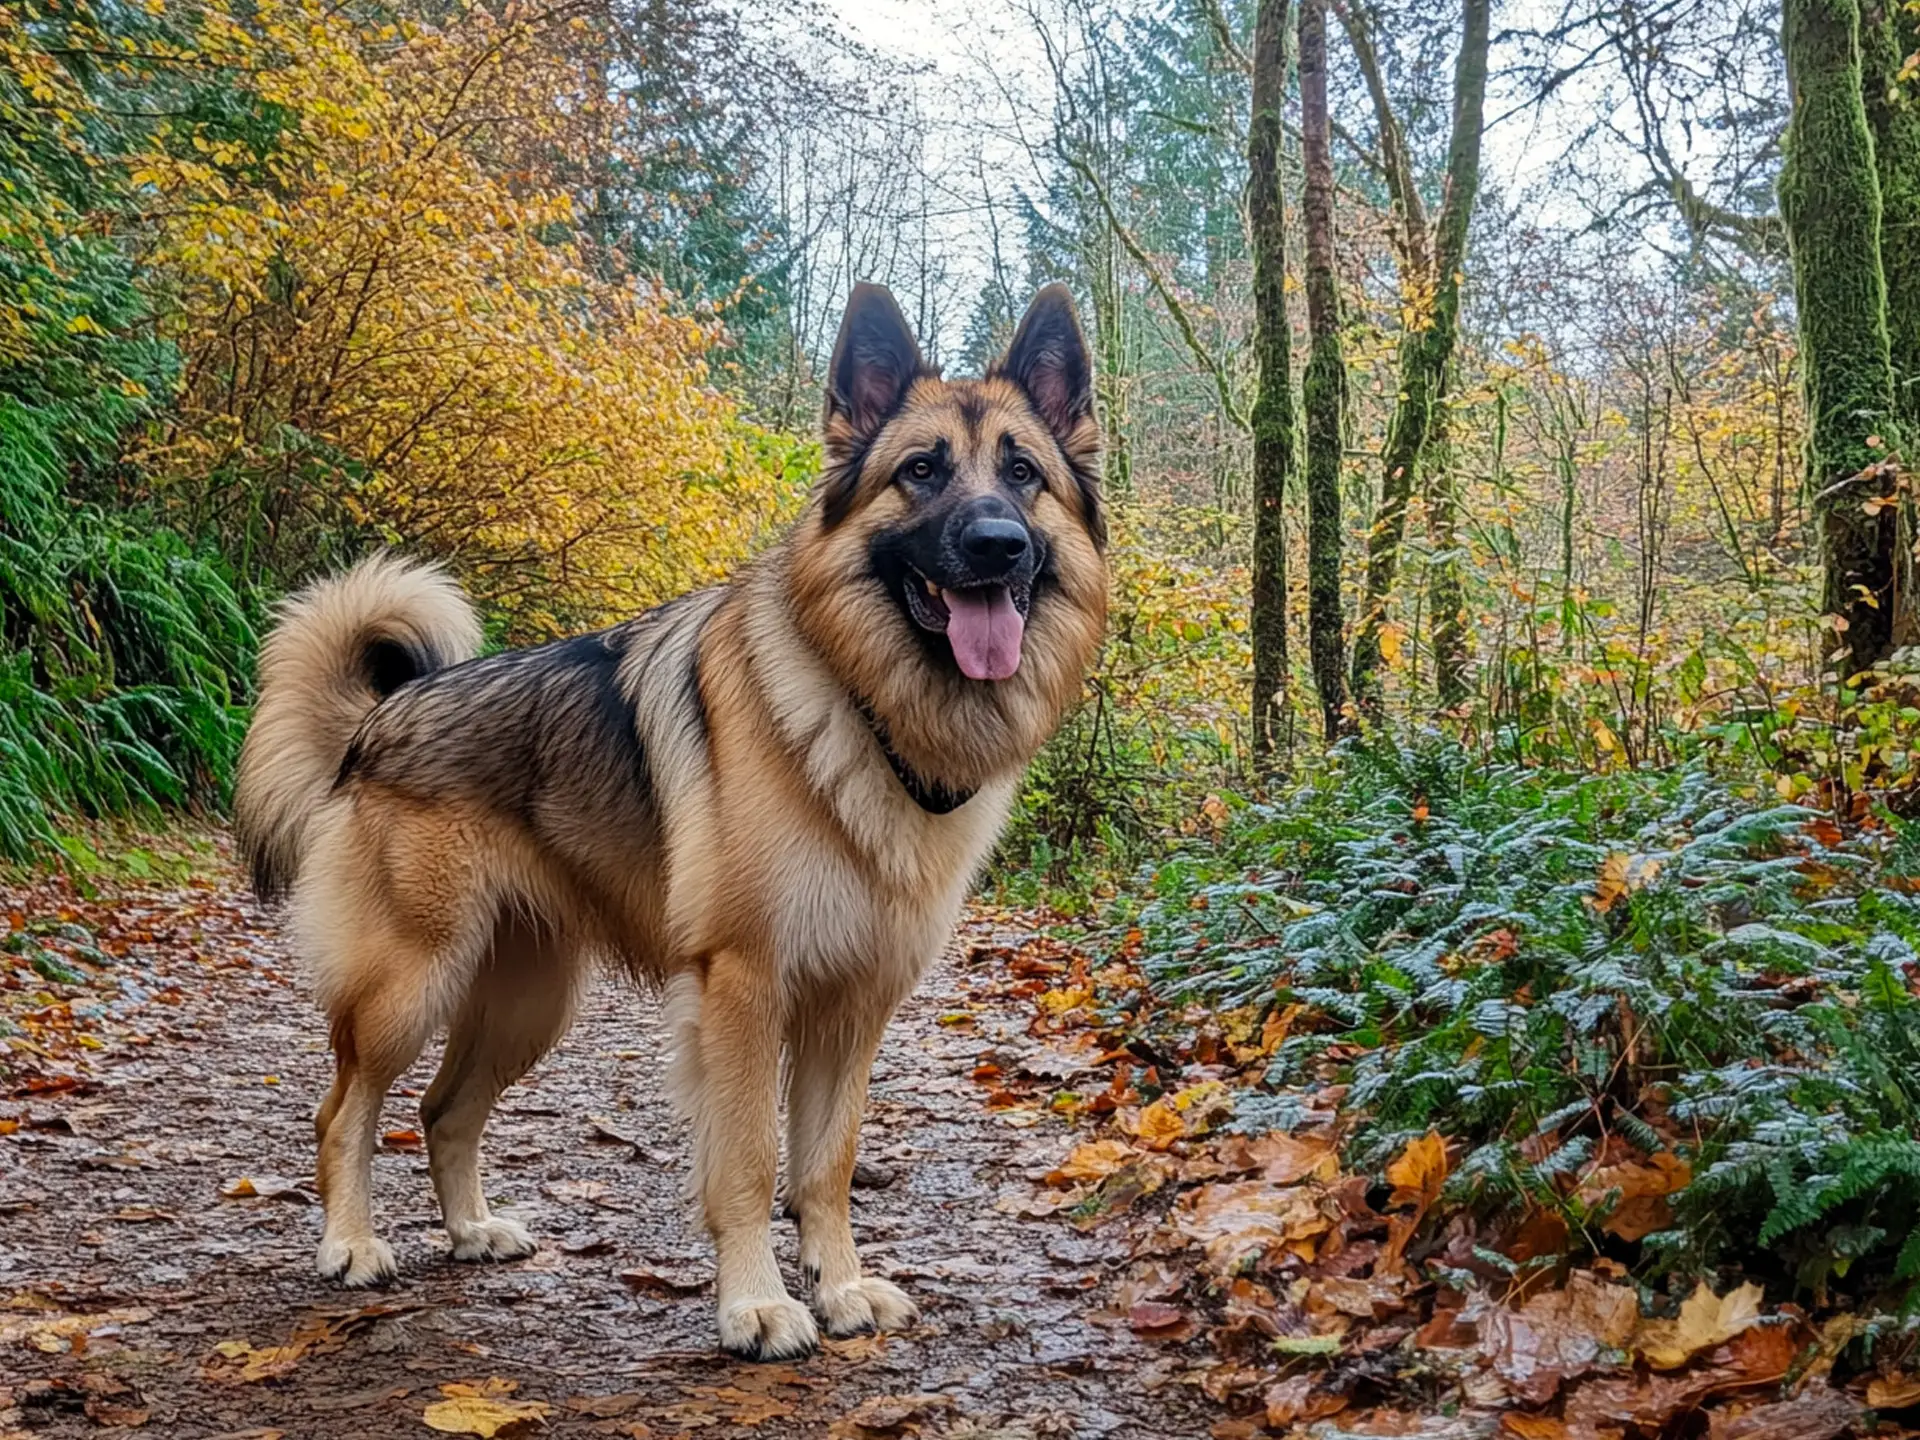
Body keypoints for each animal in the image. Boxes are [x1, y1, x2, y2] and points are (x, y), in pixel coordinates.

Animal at [234, 284, 1113, 1367]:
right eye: (921, 472)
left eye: (1024, 474)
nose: (998, 545)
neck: (862, 708)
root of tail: (382, 717)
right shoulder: (744, 991)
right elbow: (748, 1162)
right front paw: (757, 1304)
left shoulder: (851, 1010)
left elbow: (824, 1165)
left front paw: (840, 1285)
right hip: (409, 984)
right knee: (343, 1113)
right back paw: (351, 1242)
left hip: (527, 1008)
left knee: (443, 1112)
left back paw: (470, 1230)